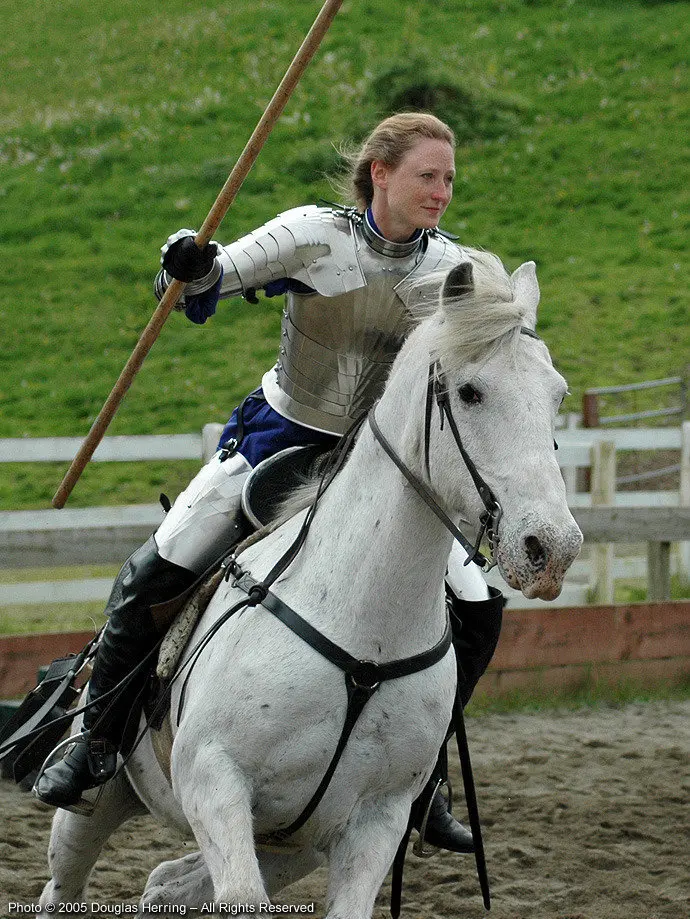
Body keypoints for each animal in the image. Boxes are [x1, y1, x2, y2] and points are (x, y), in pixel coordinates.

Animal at [39, 252, 580, 919]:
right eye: (471, 391)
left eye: (556, 394)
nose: (551, 547)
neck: (363, 628)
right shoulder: (215, 782)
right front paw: (190, 266)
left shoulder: (374, 822)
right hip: (98, 806)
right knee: (67, 880)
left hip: (291, 845)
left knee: (168, 882)